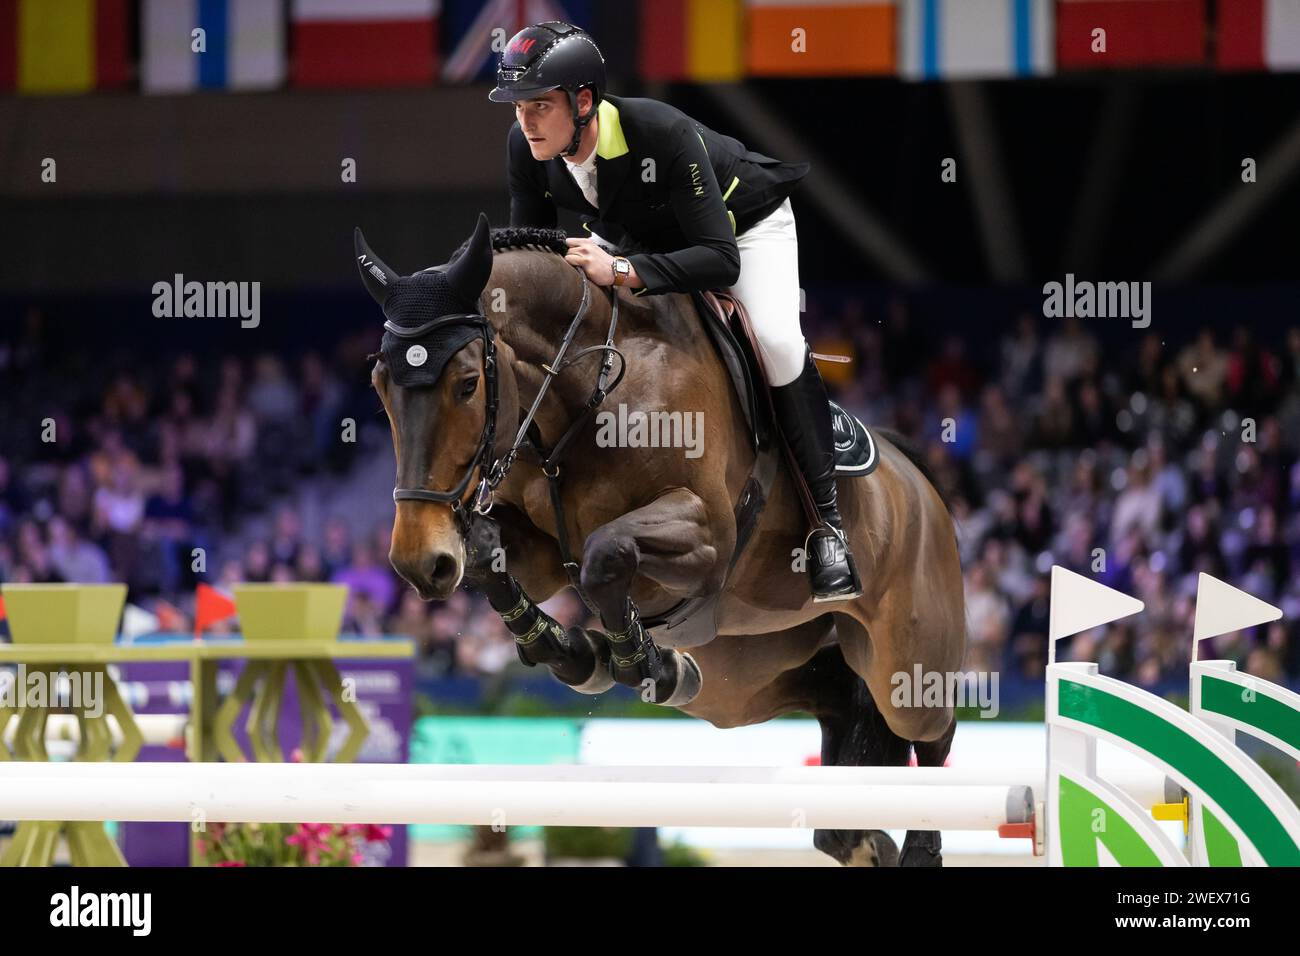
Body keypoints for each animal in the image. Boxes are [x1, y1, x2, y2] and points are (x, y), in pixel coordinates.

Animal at [361, 214, 972, 868]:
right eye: (379, 386)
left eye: (468, 384)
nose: (418, 562)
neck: (590, 387)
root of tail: (919, 482)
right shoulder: (545, 553)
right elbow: (488, 561)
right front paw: (575, 651)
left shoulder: (707, 538)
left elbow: (606, 554)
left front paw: (640, 661)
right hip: (746, 677)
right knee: (838, 700)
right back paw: (862, 840)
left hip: (905, 658)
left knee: (929, 728)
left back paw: (920, 849)